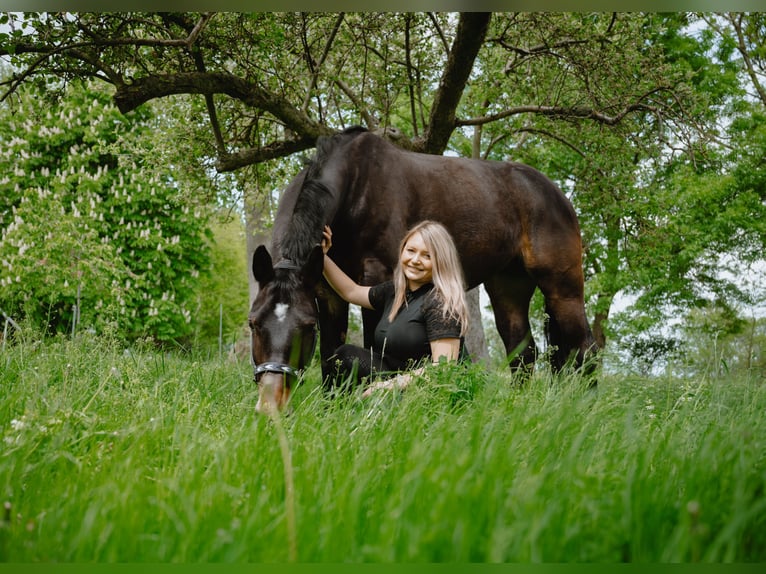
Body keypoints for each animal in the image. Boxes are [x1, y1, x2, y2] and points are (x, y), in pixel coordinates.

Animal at [249, 126, 598, 413]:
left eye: (307, 326)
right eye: (253, 323)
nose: (270, 404)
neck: (357, 188)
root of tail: (555, 193)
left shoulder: (377, 278)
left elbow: (374, 347)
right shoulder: (327, 292)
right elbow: (330, 354)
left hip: (563, 286)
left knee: (584, 347)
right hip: (508, 287)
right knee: (523, 351)